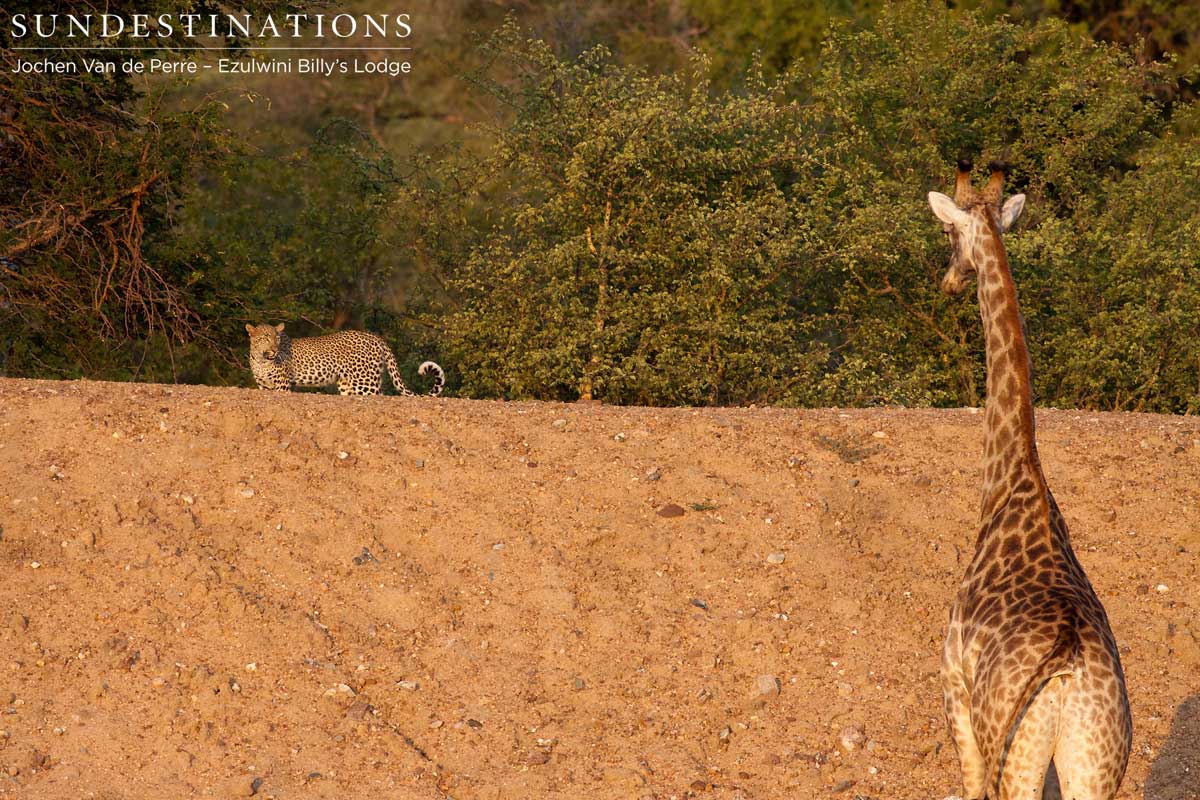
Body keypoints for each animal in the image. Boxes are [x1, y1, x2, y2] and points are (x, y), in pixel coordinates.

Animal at [245, 323, 445, 397]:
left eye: (277, 338)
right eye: (265, 338)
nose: (274, 349)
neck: (261, 360)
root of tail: (375, 337)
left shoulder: (283, 385)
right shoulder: (263, 386)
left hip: (366, 383)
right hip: (348, 384)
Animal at [928, 160, 1131, 800]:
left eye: (948, 233)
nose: (950, 282)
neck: (1013, 479)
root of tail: (1067, 668)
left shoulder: (953, 683)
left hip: (1012, 749)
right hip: (1094, 759)